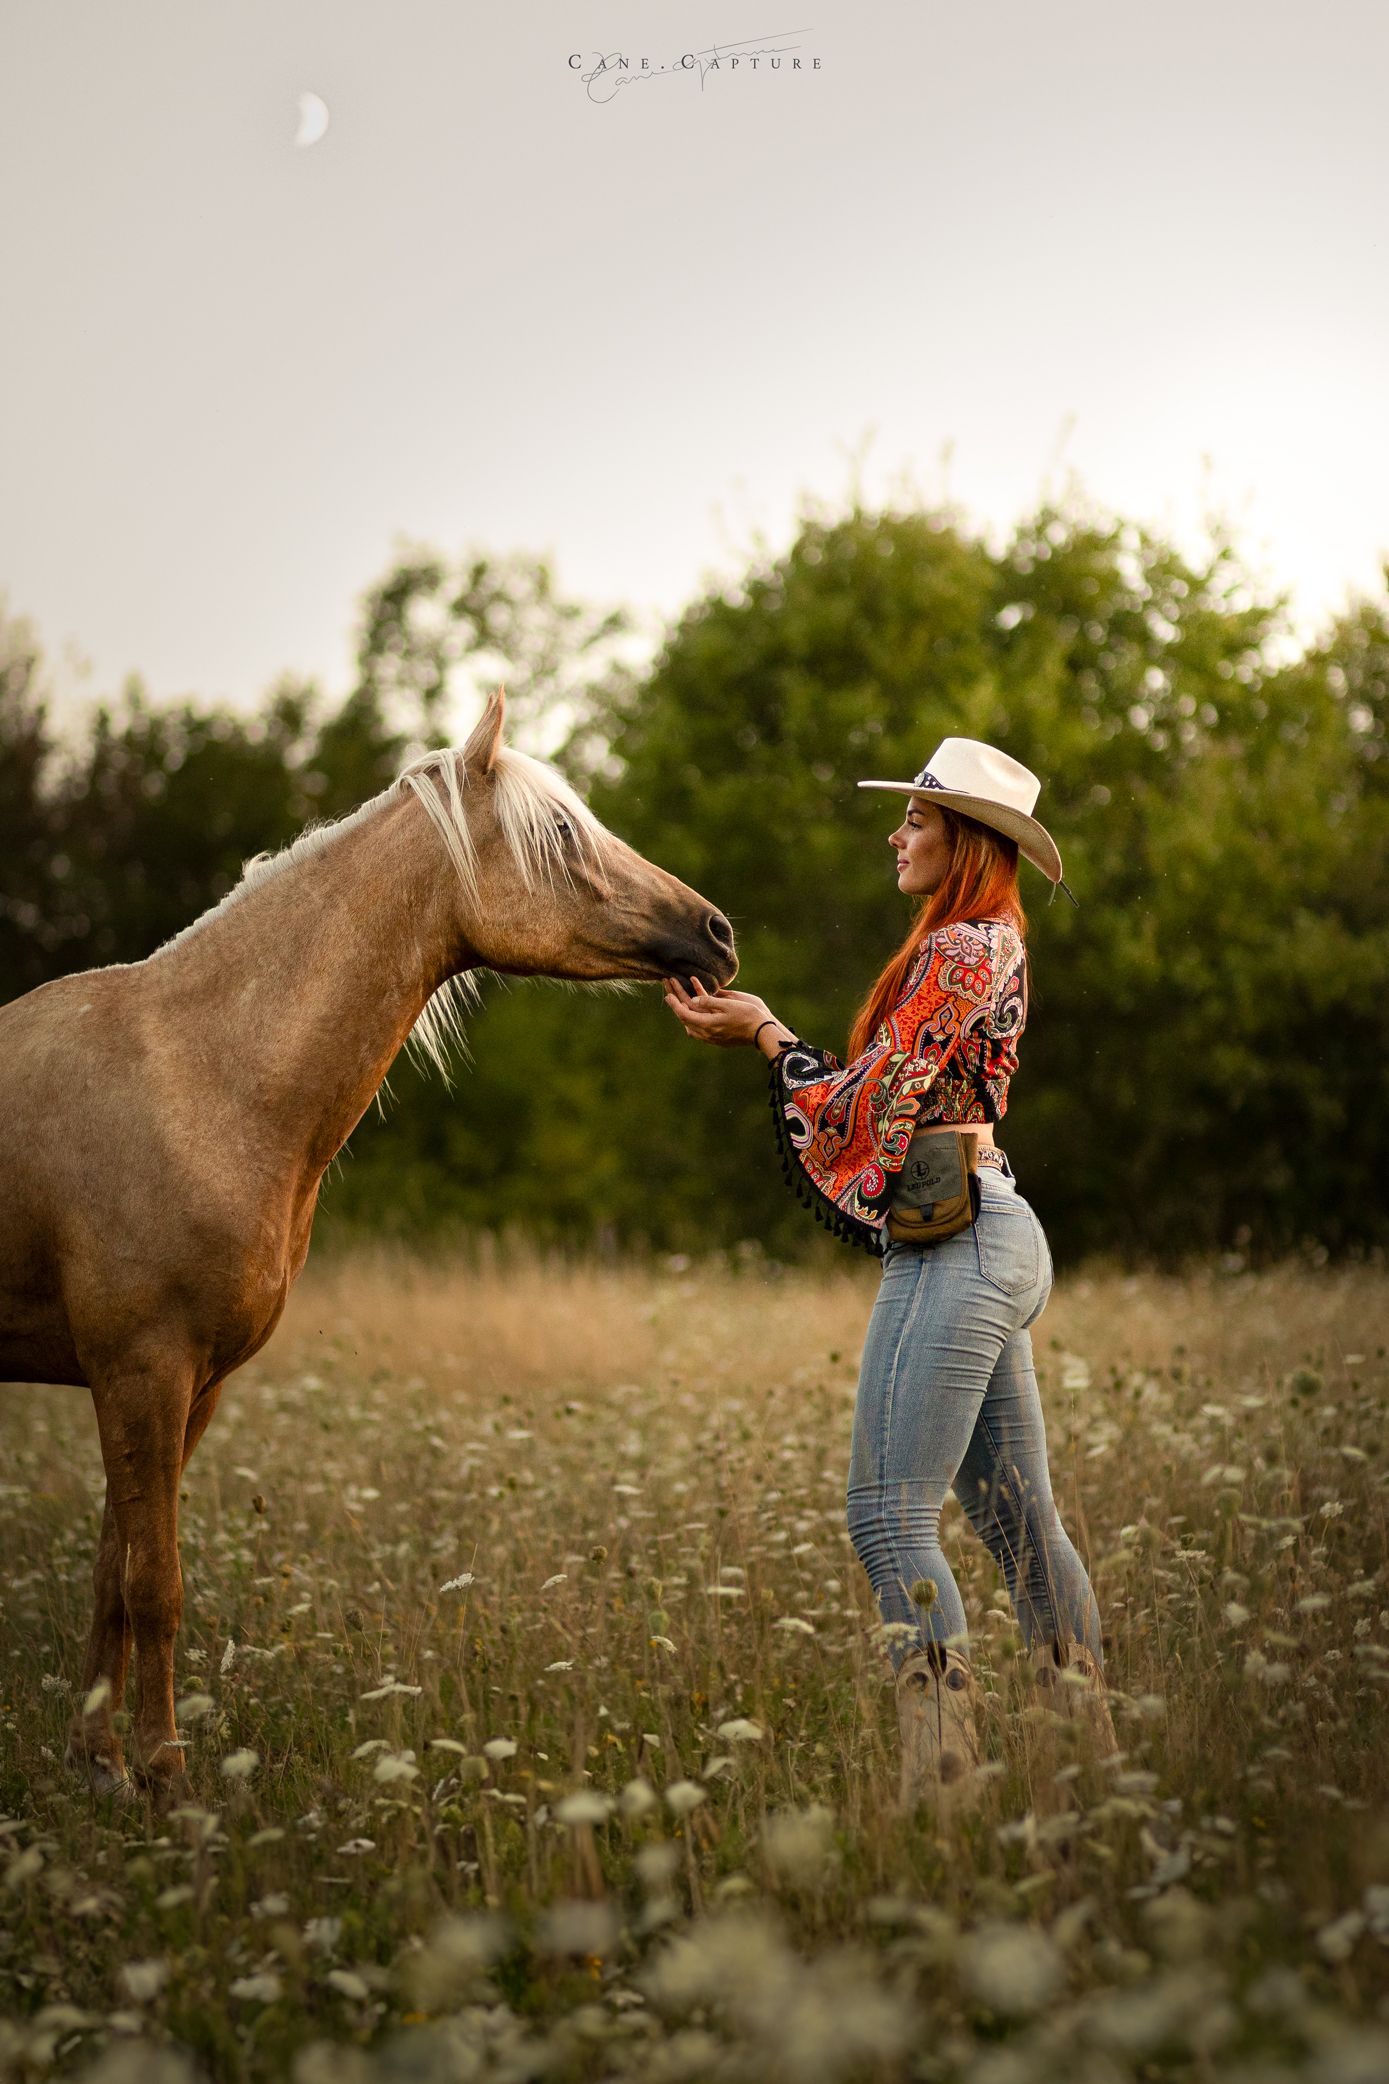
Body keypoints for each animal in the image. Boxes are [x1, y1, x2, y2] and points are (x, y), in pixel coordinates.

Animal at [0, 686, 737, 1808]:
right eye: (563, 832)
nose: (716, 933)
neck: (199, 1081)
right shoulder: (140, 1370)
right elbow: (155, 1581)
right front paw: (165, 1773)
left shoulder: (186, 1385)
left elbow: (113, 1573)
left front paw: (101, 1762)